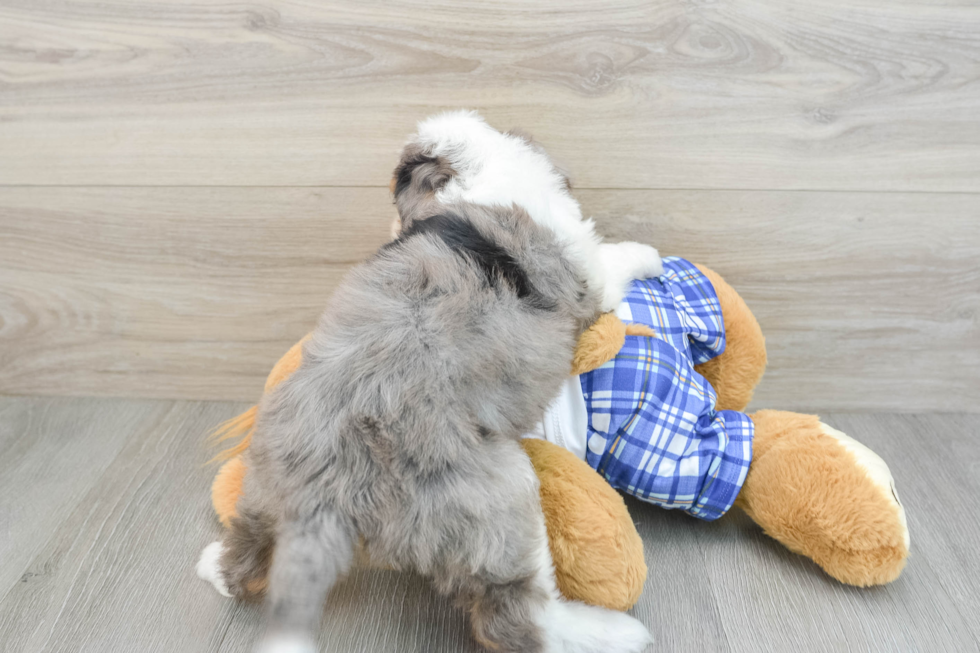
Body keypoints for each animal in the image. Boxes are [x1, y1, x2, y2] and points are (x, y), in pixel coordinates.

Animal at [198, 121, 652, 648]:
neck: (478, 178)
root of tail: (330, 488)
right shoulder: (588, 269)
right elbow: (614, 260)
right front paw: (651, 256)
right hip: (498, 503)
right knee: (514, 614)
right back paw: (610, 632)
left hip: (266, 485)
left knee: (245, 548)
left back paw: (213, 565)